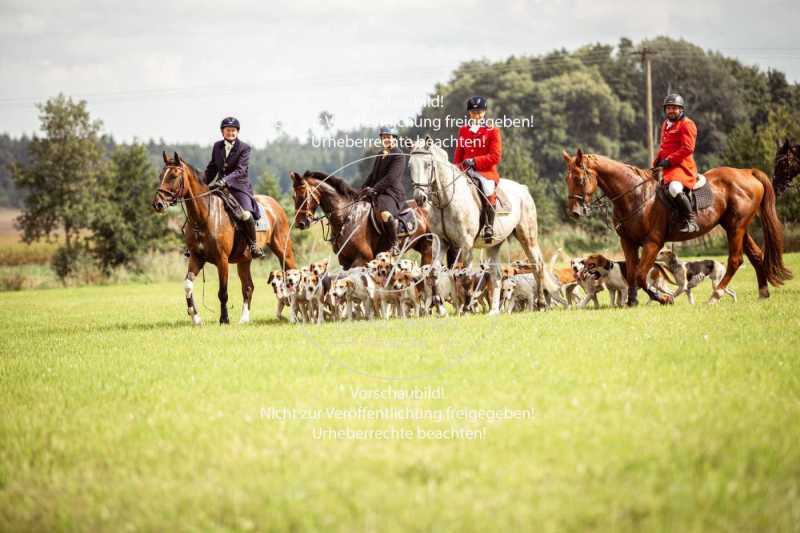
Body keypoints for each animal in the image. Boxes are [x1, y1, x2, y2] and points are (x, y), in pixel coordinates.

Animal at [153, 151, 296, 324]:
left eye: (173, 176)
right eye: (161, 175)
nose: (158, 204)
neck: (203, 218)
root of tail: (275, 204)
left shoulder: (222, 260)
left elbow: (222, 292)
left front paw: (224, 319)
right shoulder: (196, 258)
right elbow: (187, 285)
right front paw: (195, 317)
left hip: (283, 251)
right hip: (244, 260)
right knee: (248, 287)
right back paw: (244, 319)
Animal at [290, 170, 434, 268]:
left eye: (304, 195)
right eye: (293, 197)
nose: (300, 223)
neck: (345, 217)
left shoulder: (362, 259)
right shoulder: (345, 262)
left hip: (427, 249)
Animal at [410, 135, 548, 316]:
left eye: (427, 165)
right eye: (410, 165)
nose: (419, 198)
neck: (445, 201)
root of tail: (523, 189)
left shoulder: (466, 244)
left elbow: (465, 276)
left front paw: (467, 308)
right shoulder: (441, 243)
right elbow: (433, 273)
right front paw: (441, 308)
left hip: (527, 238)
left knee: (537, 265)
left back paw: (542, 303)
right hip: (494, 244)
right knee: (496, 275)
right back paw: (494, 310)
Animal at [564, 150, 792, 306]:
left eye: (580, 178)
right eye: (568, 179)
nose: (575, 212)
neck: (634, 196)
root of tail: (747, 172)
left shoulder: (653, 243)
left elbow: (640, 274)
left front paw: (662, 298)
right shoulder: (628, 241)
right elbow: (631, 272)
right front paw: (632, 301)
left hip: (736, 227)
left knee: (735, 260)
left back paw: (716, 295)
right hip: (735, 226)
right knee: (756, 254)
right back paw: (763, 292)